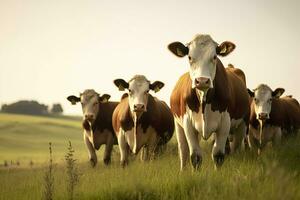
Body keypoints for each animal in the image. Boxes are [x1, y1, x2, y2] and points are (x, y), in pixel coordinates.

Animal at [168, 33, 250, 170]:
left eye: (214, 57)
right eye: (189, 57)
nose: (202, 81)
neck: (204, 100)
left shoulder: (225, 122)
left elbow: (218, 155)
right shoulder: (187, 123)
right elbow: (195, 156)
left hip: (243, 123)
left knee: (237, 147)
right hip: (178, 125)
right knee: (183, 151)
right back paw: (182, 170)